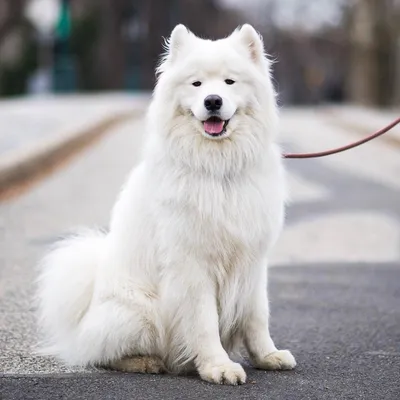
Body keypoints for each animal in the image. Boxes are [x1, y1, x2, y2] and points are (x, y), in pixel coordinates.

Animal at [36, 24, 296, 384]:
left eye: (229, 82)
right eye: (196, 84)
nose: (212, 101)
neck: (219, 168)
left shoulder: (253, 260)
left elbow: (257, 315)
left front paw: (267, 355)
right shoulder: (192, 265)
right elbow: (204, 322)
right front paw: (217, 366)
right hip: (140, 313)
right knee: (102, 355)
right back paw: (145, 362)